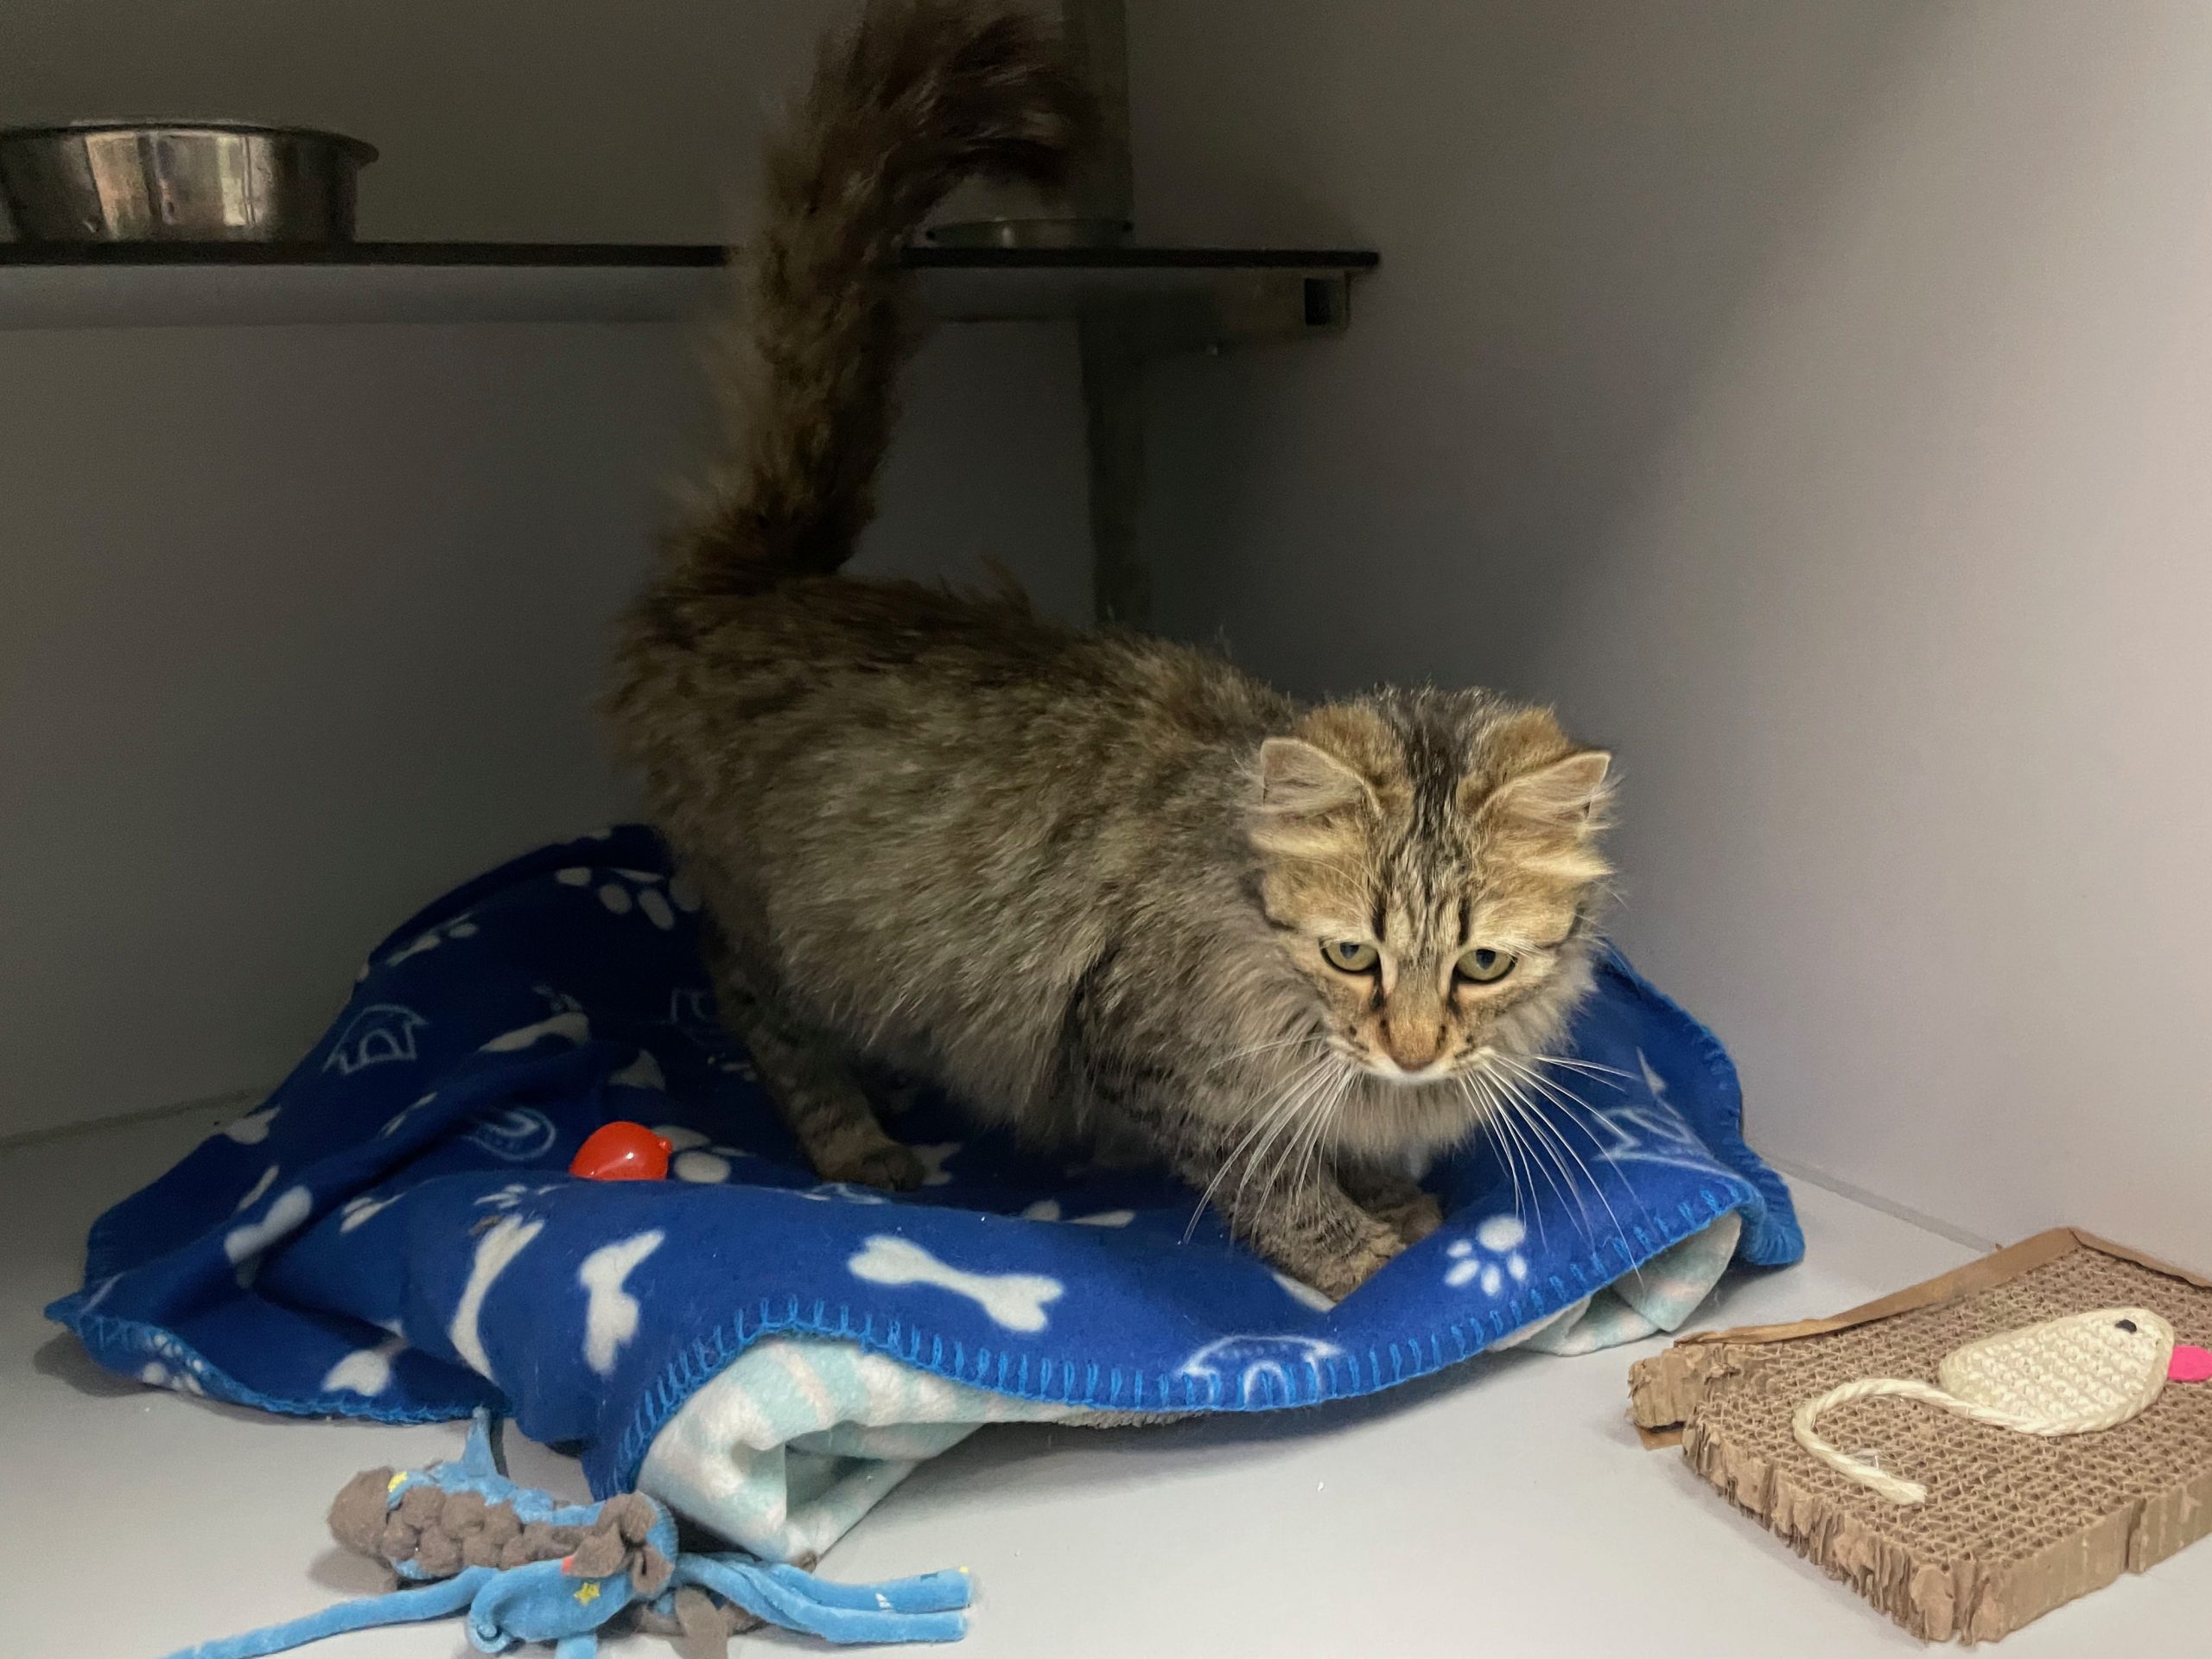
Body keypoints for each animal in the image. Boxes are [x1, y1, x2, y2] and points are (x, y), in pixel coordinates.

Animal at [611, 0, 1615, 1300]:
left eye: (1482, 966)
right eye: (1350, 954)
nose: (1411, 1049)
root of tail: (758, 582)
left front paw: (1395, 1190)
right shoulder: (1150, 1050)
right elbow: (1275, 1182)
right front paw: (1361, 1258)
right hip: (796, 939)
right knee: (741, 991)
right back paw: (856, 1141)